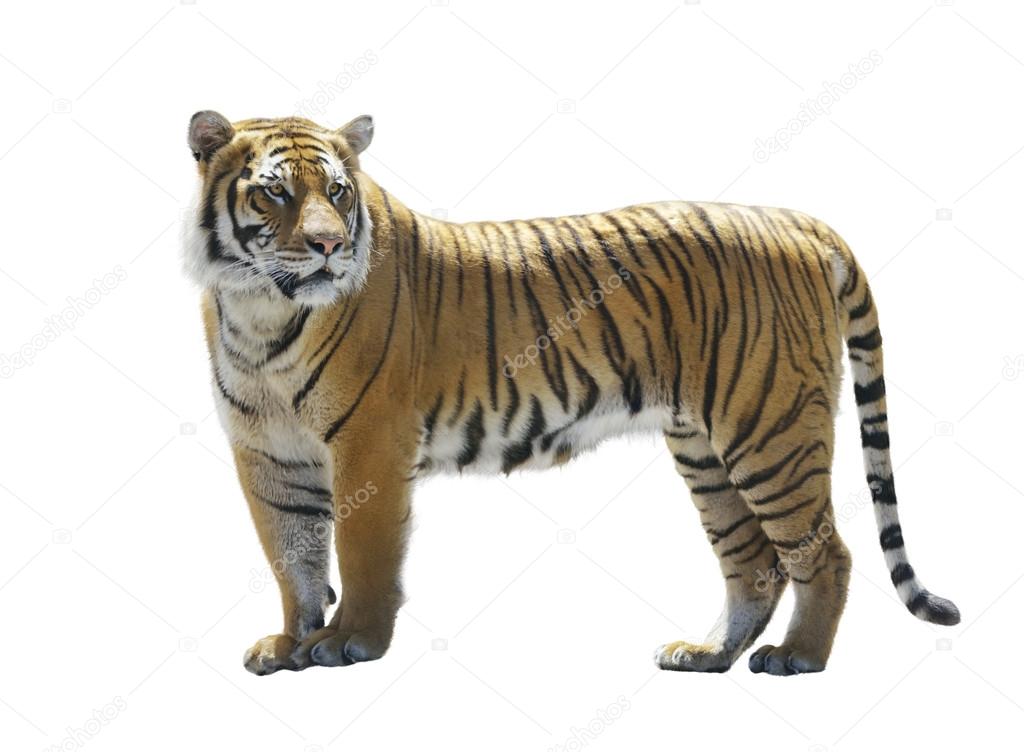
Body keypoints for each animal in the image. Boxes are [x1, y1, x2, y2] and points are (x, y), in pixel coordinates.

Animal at [182, 110, 959, 677]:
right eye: (276, 192)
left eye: (338, 193)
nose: (327, 247)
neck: (258, 308)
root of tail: (798, 220)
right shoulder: (268, 454)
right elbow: (293, 557)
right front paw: (290, 645)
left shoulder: (369, 443)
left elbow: (360, 551)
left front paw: (351, 642)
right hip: (705, 447)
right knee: (755, 563)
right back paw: (709, 655)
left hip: (770, 431)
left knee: (824, 554)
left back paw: (798, 657)